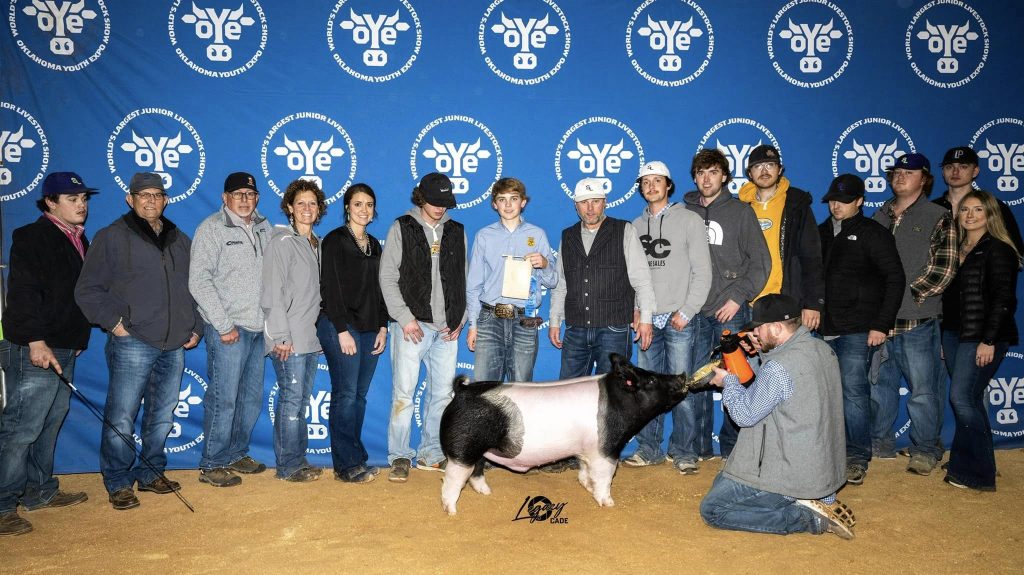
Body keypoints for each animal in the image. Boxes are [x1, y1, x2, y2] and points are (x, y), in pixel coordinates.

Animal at [439, 353, 700, 515]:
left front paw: (587, 487)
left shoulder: (586, 450)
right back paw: (451, 511)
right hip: (463, 448)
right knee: (452, 479)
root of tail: (461, 391)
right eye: (653, 380)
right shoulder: (606, 450)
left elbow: (585, 472)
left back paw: (486, 492)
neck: (619, 404)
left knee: (476, 472)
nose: (682, 375)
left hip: (478, 449)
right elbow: (605, 477)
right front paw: (609, 503)